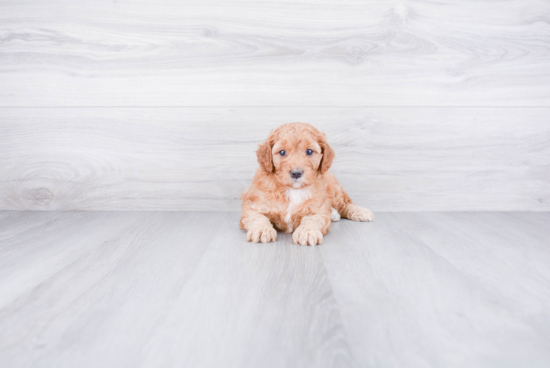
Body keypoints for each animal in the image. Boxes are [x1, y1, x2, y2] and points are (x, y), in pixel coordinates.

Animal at [242, 122, 376, 246]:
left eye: (309, 151)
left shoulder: (318, 210)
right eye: (282, 152)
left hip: (334, 190)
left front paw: (307, 232)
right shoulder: (253, 205)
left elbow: (311, 219)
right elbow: (258, 217)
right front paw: (261, 230)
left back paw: (361, 212)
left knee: (345, 203)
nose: (296, 173)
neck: (294, 190)